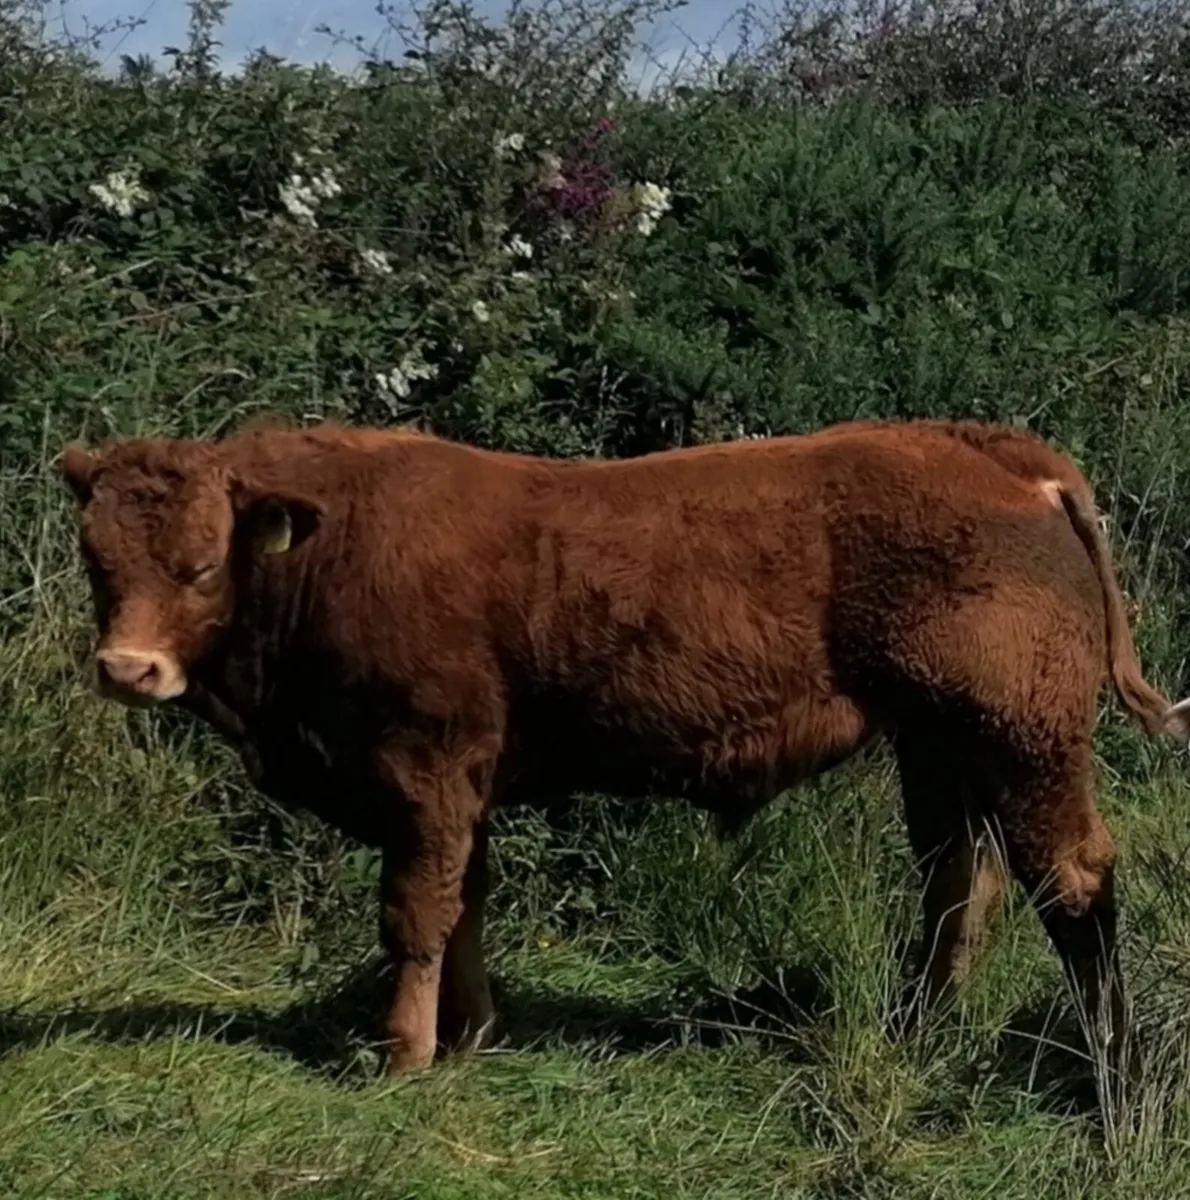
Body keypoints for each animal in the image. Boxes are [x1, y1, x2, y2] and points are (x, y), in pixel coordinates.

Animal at [59, 416, 1190, 1075]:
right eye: (95, 558)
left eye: (204, 563)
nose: (126, 668)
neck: (332, 544)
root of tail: (981, 446)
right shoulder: (469, 787)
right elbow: (468, 904)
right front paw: (474, 1035)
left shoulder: (425, 770)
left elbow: (415, 915)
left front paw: (404, 1053)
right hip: (940, 742)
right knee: (960, 878)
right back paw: (919, 1030)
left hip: (1021, 733)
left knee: (1072, 878)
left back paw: (1108, 1063)